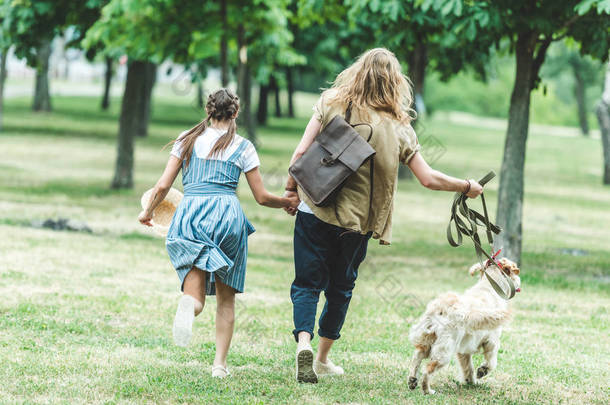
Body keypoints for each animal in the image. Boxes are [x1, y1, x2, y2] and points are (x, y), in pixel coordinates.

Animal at [406, 258, 520, 392]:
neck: (488, 287)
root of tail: (443, 308)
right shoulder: (491, 340)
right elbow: (491, 362)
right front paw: (482, 371)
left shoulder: (464, 350)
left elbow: (468, 367)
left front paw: (471, 382)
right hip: (444, 351)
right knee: (427, 369)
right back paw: (427, 390)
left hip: (426, 341)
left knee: (416, 357)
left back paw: (412, 380)